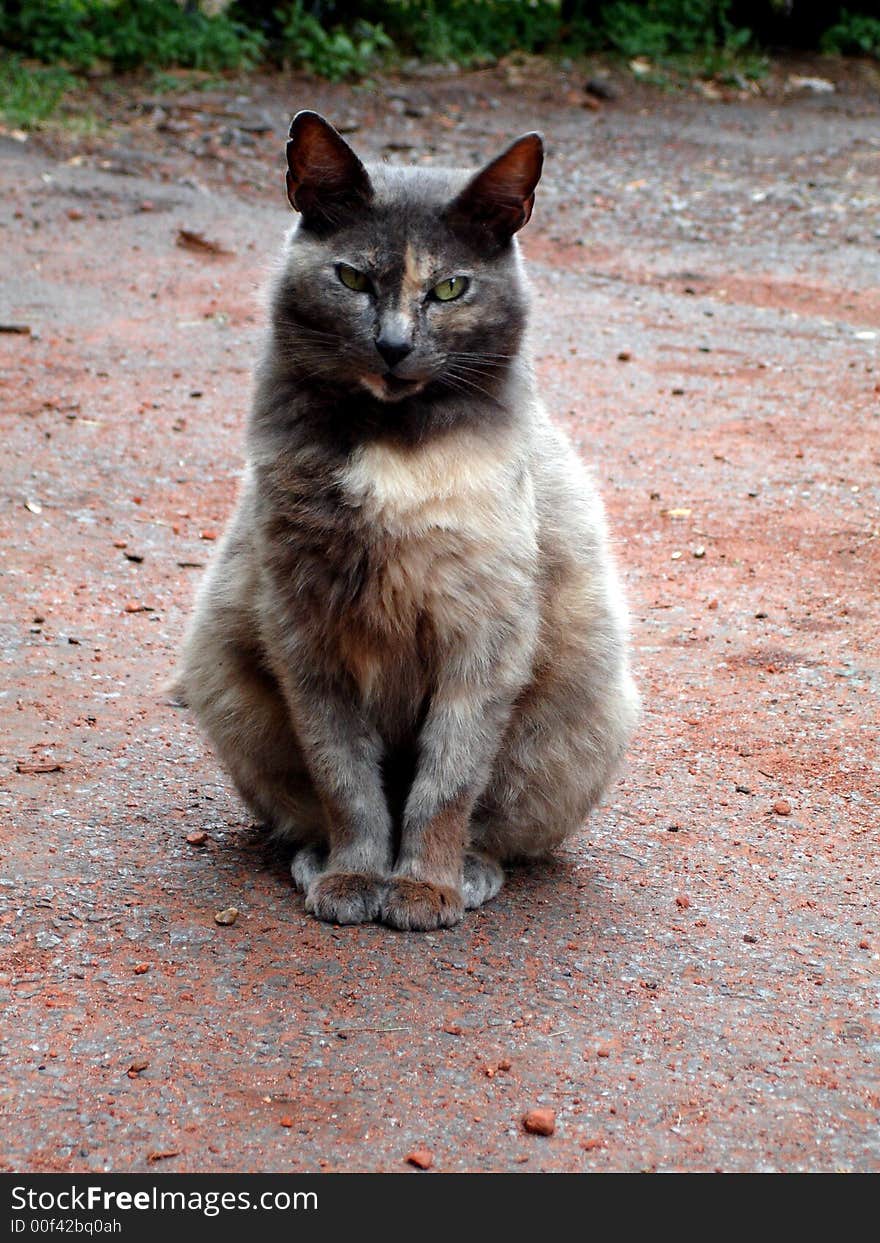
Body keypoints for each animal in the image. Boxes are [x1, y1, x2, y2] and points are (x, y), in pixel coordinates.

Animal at [174, 109, 641, 934]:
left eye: (450, 287)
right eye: (353, 278)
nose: (393, 345)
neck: (396, 445)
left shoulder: (483, 635)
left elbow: (446, 783)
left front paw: (425, 887)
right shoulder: (306, 632)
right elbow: (345, 778)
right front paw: (355, 875)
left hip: (581, 715)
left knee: (496, 819)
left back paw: (471, 873)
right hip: (226, 683)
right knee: (302, 805)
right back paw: (317, 859)